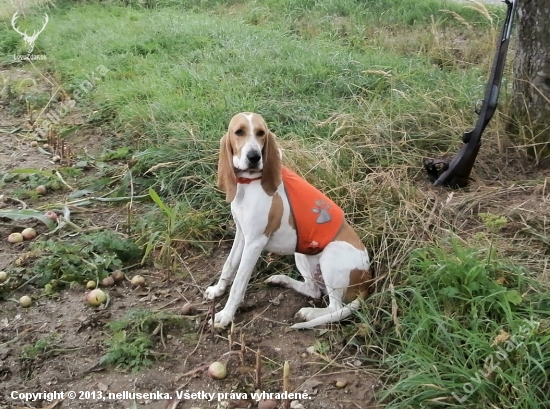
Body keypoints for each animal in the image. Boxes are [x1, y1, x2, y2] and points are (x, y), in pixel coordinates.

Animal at [205, 111, 374, 328]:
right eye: (239, 132)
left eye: (261, 133)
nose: (254, 157)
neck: (249, 183)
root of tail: (367, 280)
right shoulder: (242, 234)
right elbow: (229, 265)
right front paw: (218, 289)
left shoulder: (254, 243)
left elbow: (239, 283)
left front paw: (226, 315)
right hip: (301, 253)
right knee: (314, 290)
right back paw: (282, 280)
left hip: (331, 254)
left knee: (334, 308)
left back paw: (310, 313)